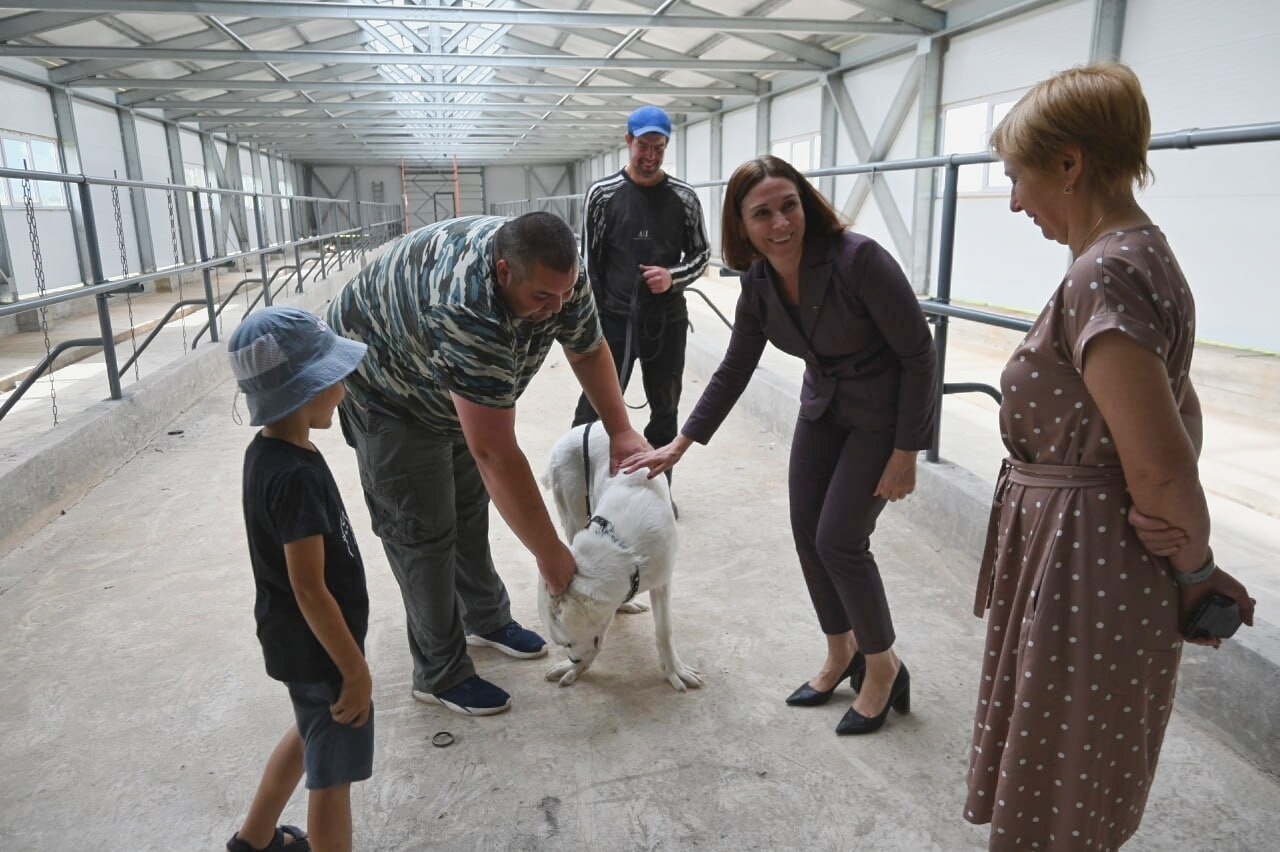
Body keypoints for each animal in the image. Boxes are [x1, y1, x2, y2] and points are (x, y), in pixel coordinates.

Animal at [537, 419, 706, 690]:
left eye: (567, 643)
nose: (573, 659)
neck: (623, 549)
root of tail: (585, 426)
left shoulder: (663, 582)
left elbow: (664, 631)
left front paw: (674, 670)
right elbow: (599, 636)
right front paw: (576, 669)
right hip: (571, 510)